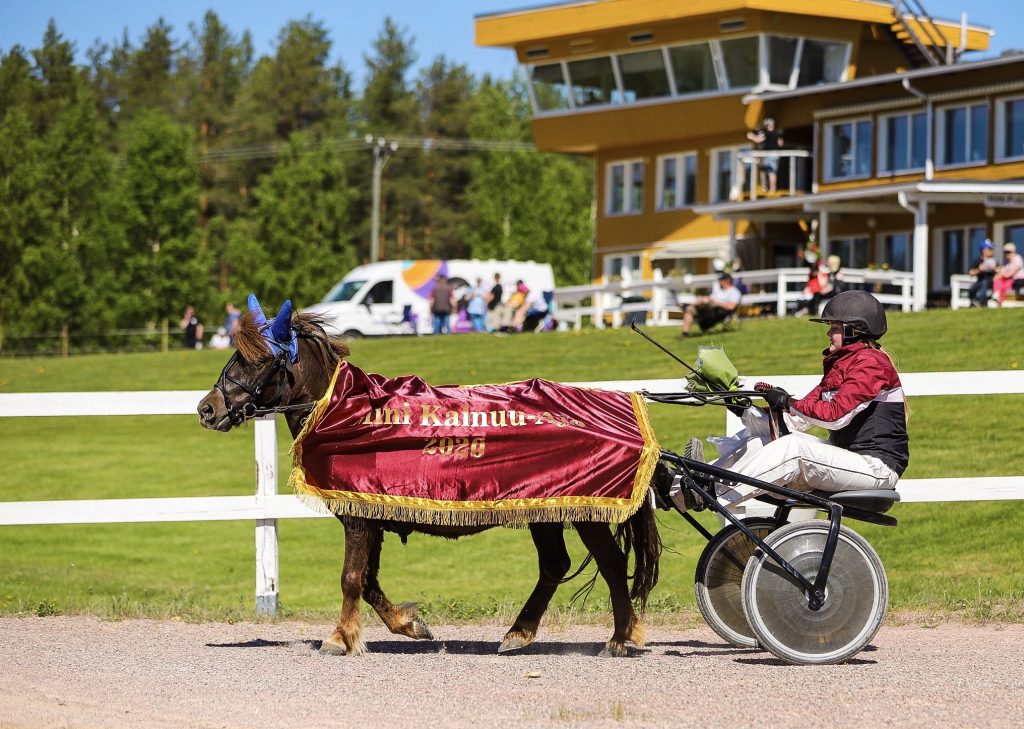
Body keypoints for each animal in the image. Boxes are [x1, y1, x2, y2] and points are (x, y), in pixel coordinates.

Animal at [197, 301, 663, 655]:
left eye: (257, 359)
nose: (207, 408)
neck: (347, 411)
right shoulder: (371, 514)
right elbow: (367, 581)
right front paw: (408, 624)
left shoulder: (358, 517)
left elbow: (350, 578)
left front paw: (340, 637)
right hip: (543, 508)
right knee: (554, 565)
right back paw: (520, 632)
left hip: (585, 511)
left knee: (610, 562)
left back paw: (620, 637)